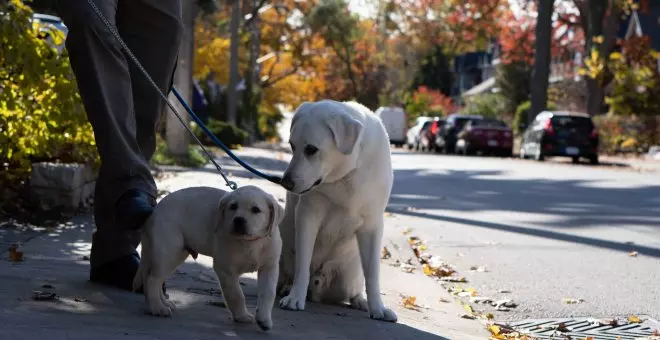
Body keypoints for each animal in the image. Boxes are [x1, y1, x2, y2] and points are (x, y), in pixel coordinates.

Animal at [278, 99, 398, 322]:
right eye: (292, 146)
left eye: (311, 149)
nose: (286, 183)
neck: (346, 174)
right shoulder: (308, 214)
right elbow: (302, 265)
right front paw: (295, 298)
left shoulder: (372, 225)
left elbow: (373, 274)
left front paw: (378, 308)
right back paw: (287, 288)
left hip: (351, 274)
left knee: (354, 289)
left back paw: (361, 301)